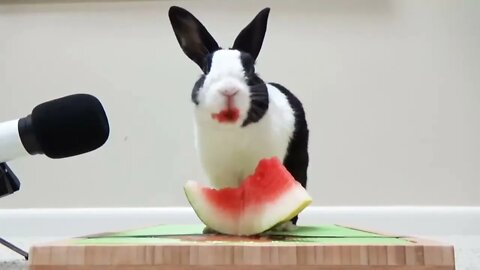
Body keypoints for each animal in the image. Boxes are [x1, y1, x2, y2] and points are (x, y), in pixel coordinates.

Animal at [169, 6, 310, 234]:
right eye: (206, 69)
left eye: (250, 68)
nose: (229, 90)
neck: (232, 131)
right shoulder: (219, 173)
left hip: (299, 159)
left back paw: (285, 226)